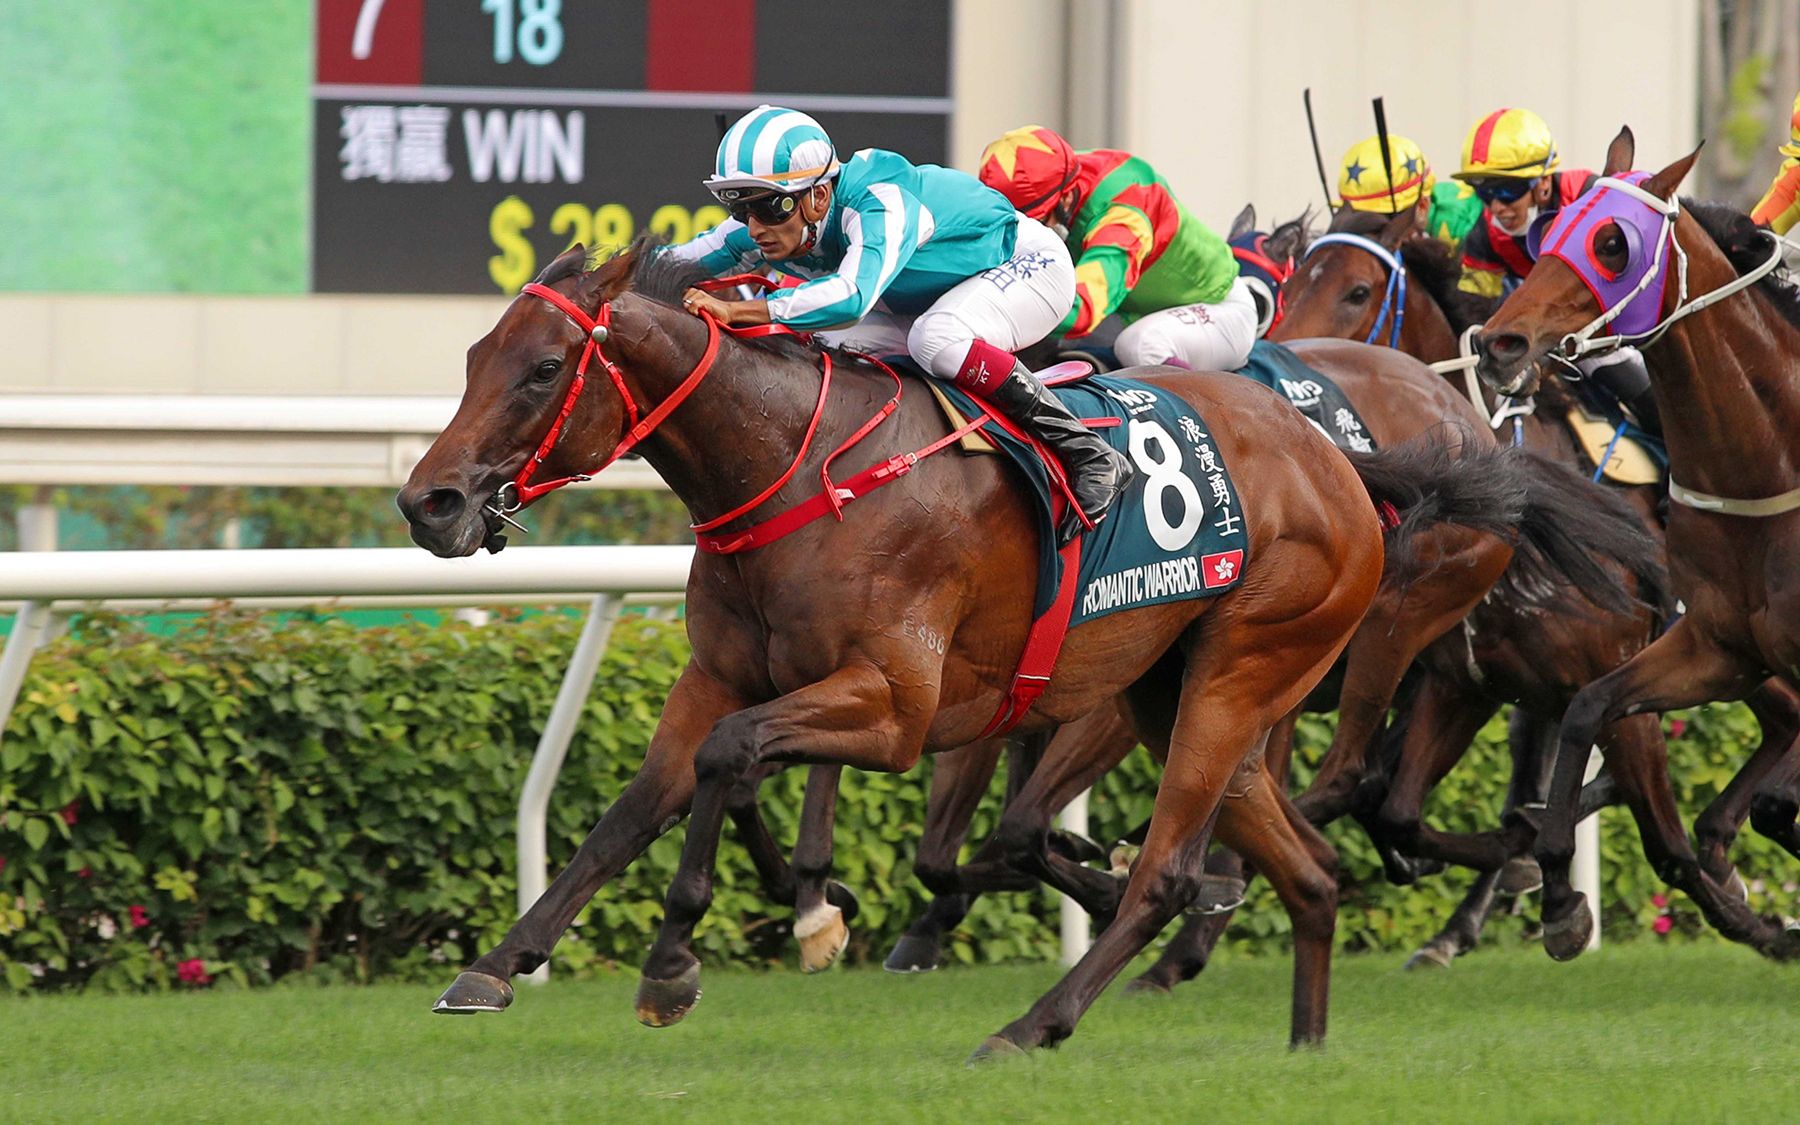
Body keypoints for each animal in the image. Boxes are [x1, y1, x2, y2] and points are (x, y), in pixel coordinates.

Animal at [399, 236, 1550, 1053]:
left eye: (545, 368)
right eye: (476, 356)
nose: (428, 502)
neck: (800, 465)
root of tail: (1343, 462)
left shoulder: (897, 707)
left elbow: (732, 759)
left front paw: (676, 961)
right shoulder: (717, 675)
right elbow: (632, 808)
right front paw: (498, 963)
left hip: (1243, 670)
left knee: (1175, 870)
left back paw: (1032, 1024)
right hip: (1173, 691)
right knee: (1308, 871)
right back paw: (1305, 1045)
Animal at [1472, 127, 1800, 959]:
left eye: (1613, 242)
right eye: (1548, 237)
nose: (1499, 342)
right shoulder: (1717, 645)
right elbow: (1589, 707)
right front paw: (1558, 892)